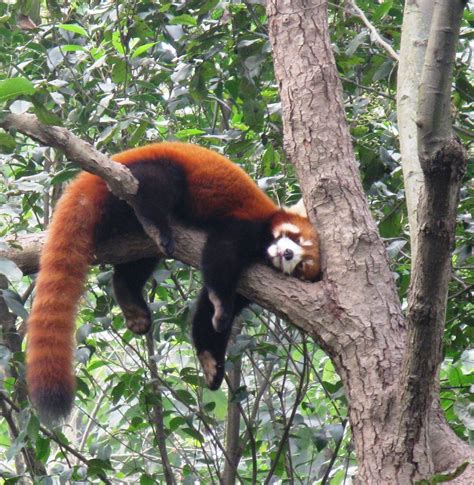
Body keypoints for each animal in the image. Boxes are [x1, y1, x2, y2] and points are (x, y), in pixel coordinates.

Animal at [26, 142, 322, 422]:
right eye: (294, 238)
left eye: (302, 265)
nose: (287, 254)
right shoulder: (244, 224)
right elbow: (220, 257)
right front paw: (221, 305)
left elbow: (205, 314)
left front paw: (212, 362)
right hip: (139, 176)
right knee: (157, 184)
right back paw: (157, 226)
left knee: (133, 268)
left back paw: (131, 301)